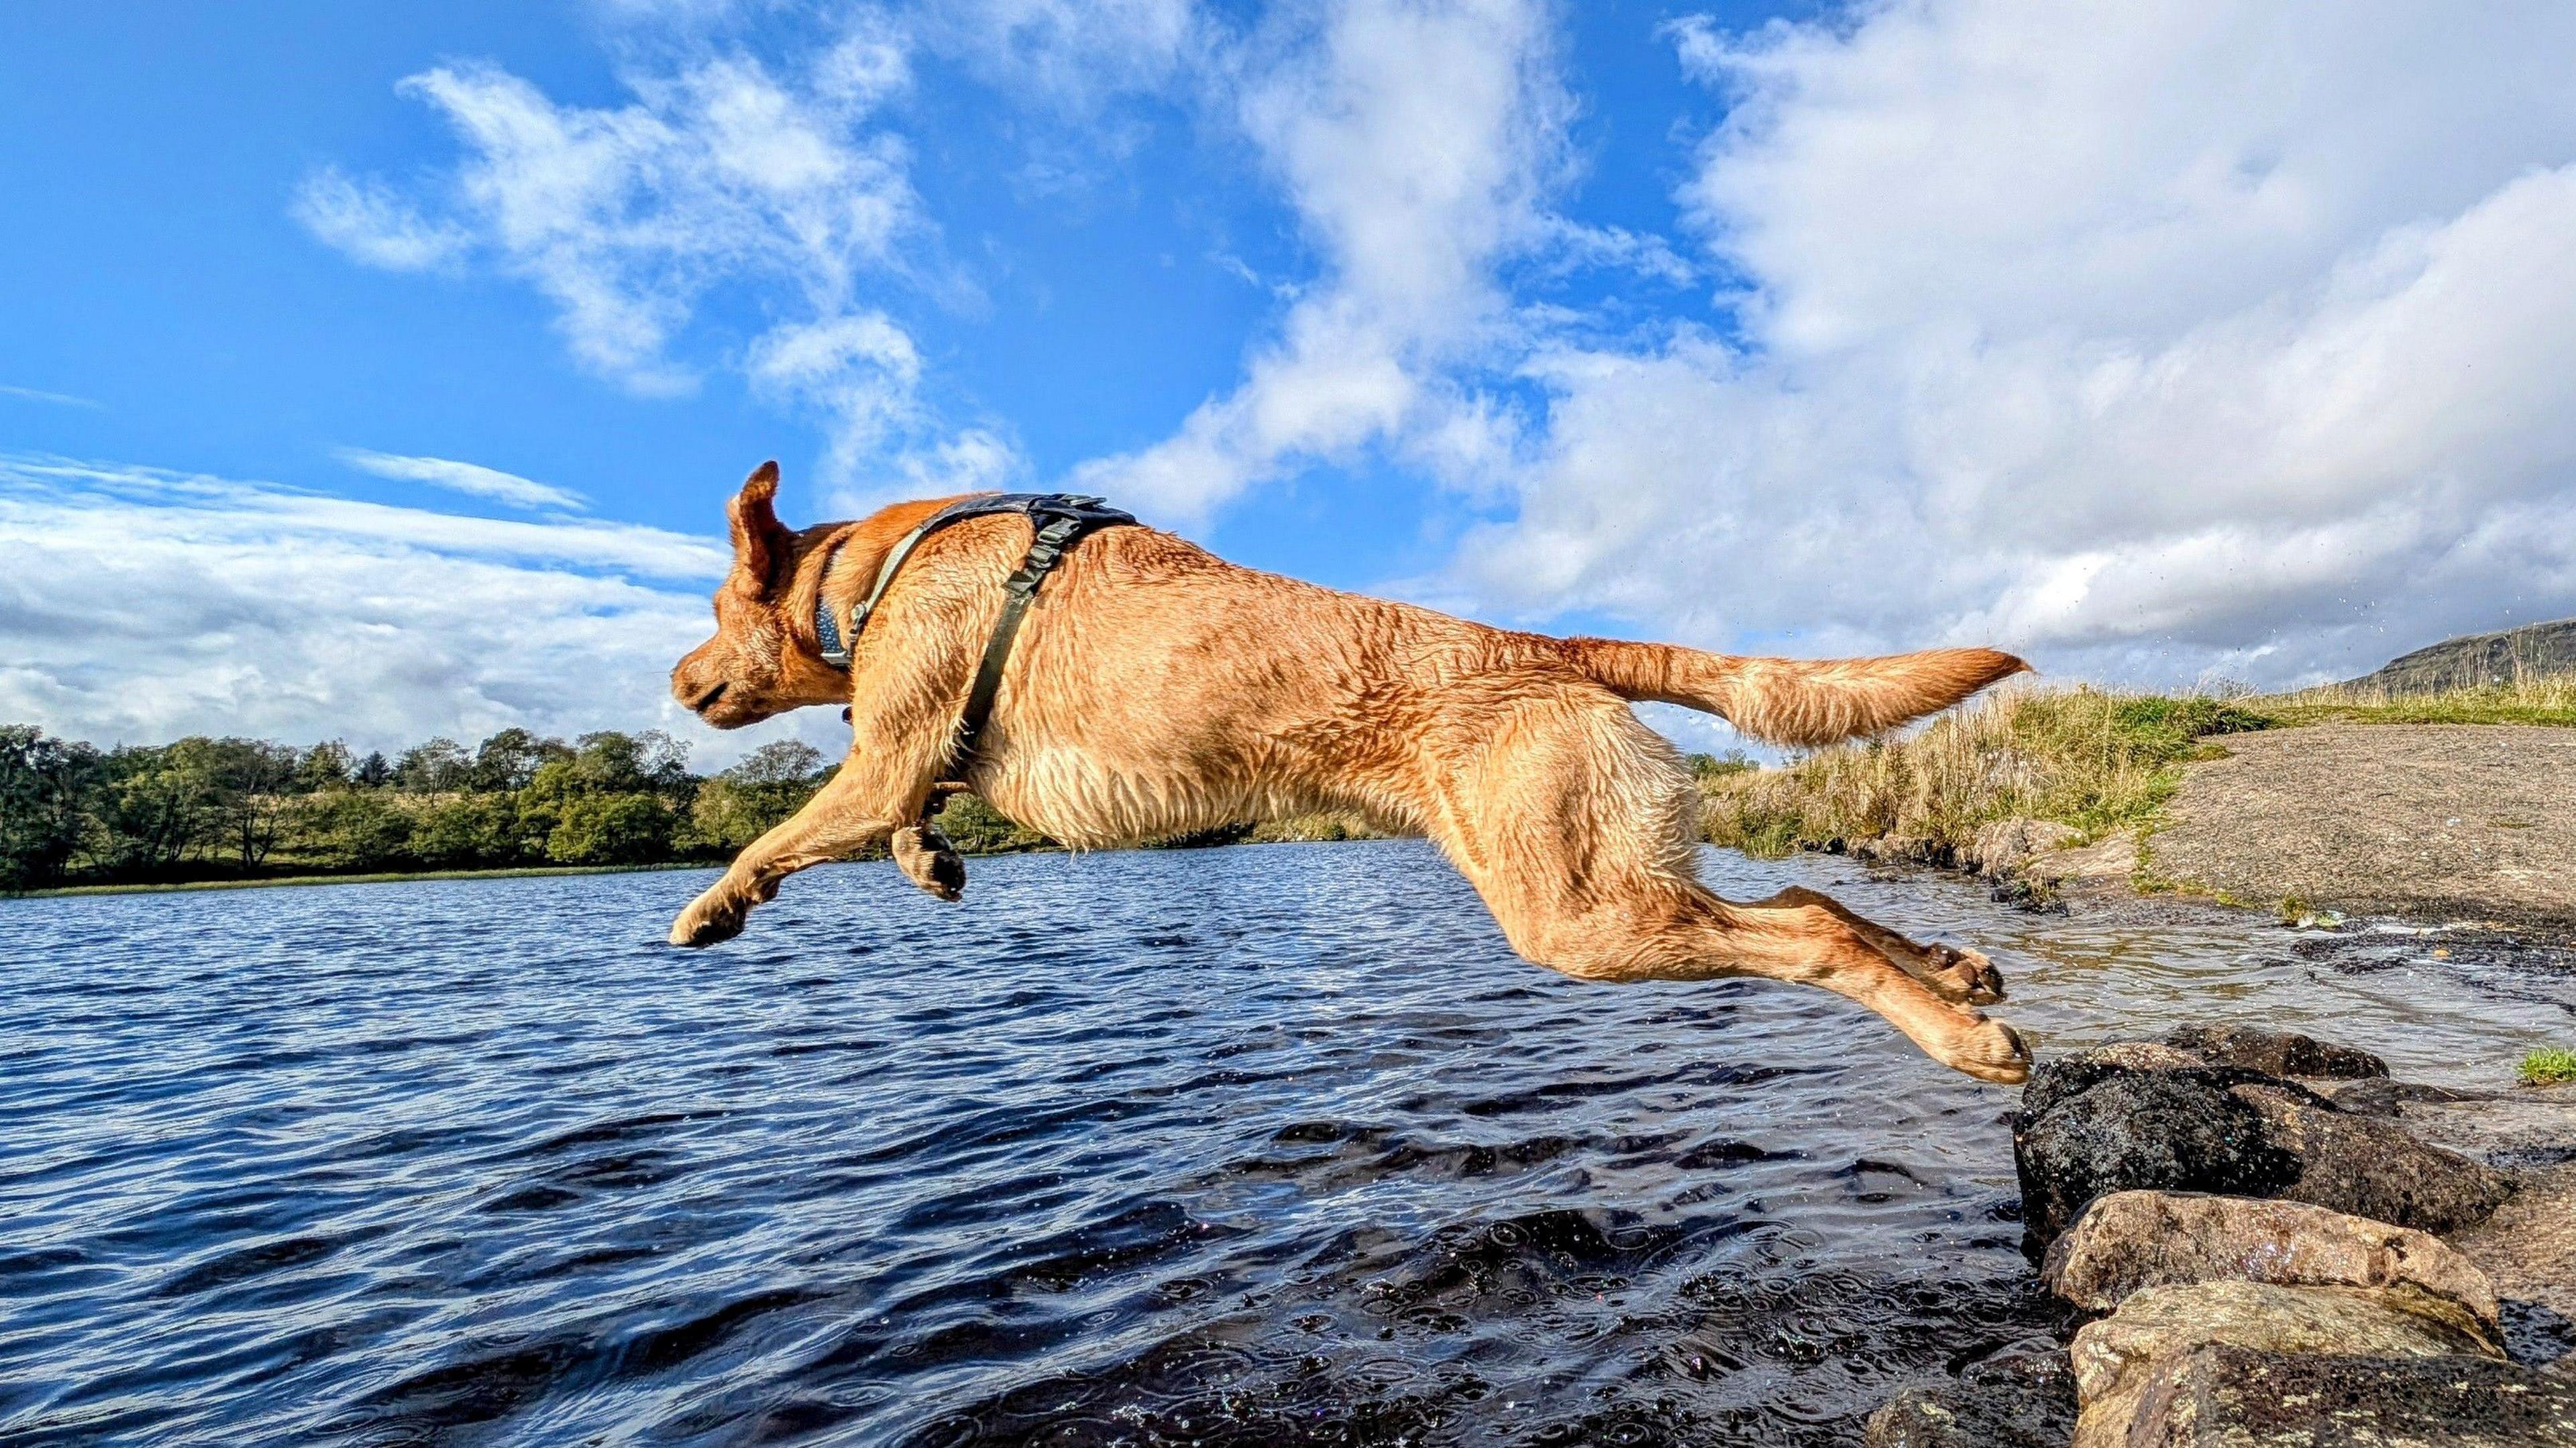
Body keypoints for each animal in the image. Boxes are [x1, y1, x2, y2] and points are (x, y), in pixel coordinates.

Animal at [675, 455, 2040, 1076]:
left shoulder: (883, 751)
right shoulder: (913, 763)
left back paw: (1961, 1036)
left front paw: (714, 902)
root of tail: (1548, 642)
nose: (678, 682)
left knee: (1807, 935)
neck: (858, 577)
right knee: (1816, 898)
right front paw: (928, 859)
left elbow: (780, 831)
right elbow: (915, 810)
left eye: (712, 605)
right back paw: (1954, 970)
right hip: (1615, 876)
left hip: (1574, 913)